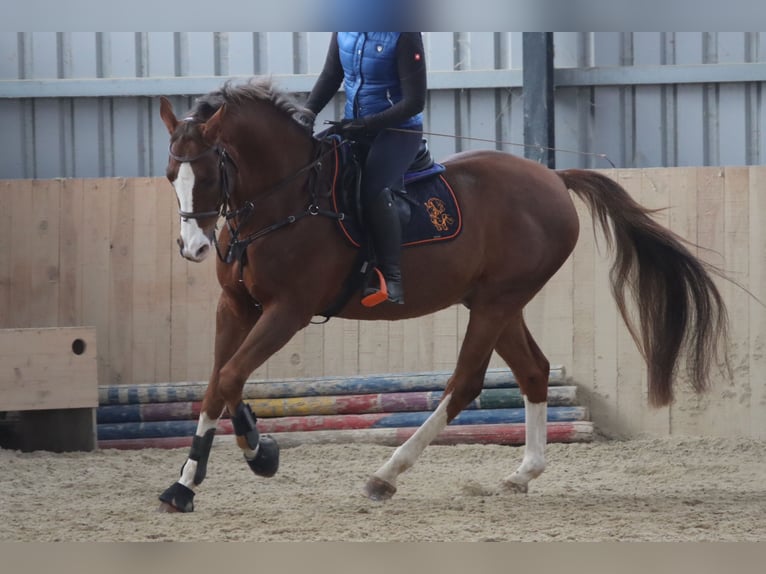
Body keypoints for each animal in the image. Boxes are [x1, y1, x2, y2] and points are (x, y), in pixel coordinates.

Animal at [156, 79, 732, 516]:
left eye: (208, 174)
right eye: (169, 175)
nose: (192, 248)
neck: (287, 198)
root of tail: (553, 178)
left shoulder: (288, 311)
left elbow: (232, 376)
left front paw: (260, 454)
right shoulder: (236, 308)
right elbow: (216, 384)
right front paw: (186, 484)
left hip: (497, 303)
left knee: (465, 384)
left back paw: (386, 475)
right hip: (496, 303)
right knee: (534, 372)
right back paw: (523, 474)